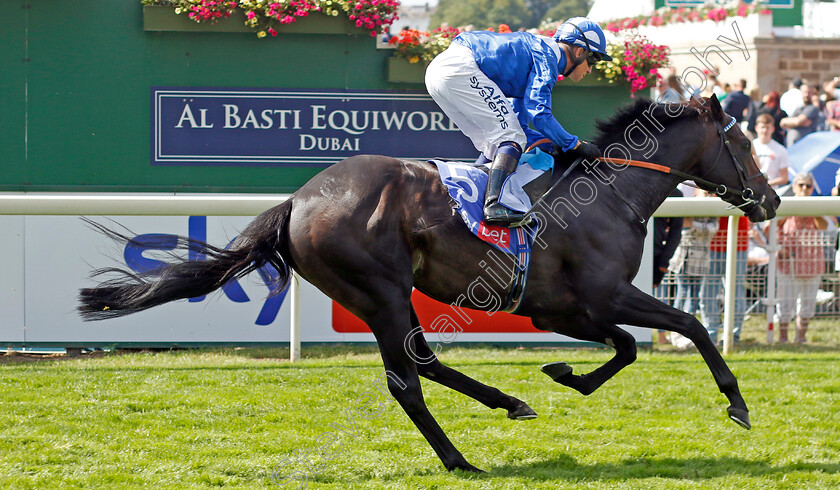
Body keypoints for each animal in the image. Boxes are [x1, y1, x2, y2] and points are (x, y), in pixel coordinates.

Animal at [80, 94, 780, 472]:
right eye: (746, 145)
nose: (771, 200)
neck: (610, 194)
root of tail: (299, 201)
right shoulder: (599, 298)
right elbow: (684, 326)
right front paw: (738, 404)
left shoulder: (562, 313)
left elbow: (628, 347)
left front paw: (562, 375)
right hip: (379, 290)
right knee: (406, 380)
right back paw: (458, 457)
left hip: (378, 296)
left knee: (422, 361)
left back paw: (506, 402)